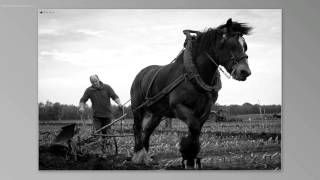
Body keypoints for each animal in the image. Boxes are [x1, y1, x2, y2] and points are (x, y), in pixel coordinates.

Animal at [130, 18, 252, 169]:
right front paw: (185, 149)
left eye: (245, 46)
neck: (193, 74)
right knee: (137, 128)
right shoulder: (178, 106)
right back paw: (138, 155)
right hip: (137, 109)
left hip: (157, 113)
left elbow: (196, 131)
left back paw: (146, 157)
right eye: (230, 45)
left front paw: (190, 158)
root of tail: (140, 74)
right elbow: (193, 127)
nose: (245, 72)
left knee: (147, 130)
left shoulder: (205, 110)